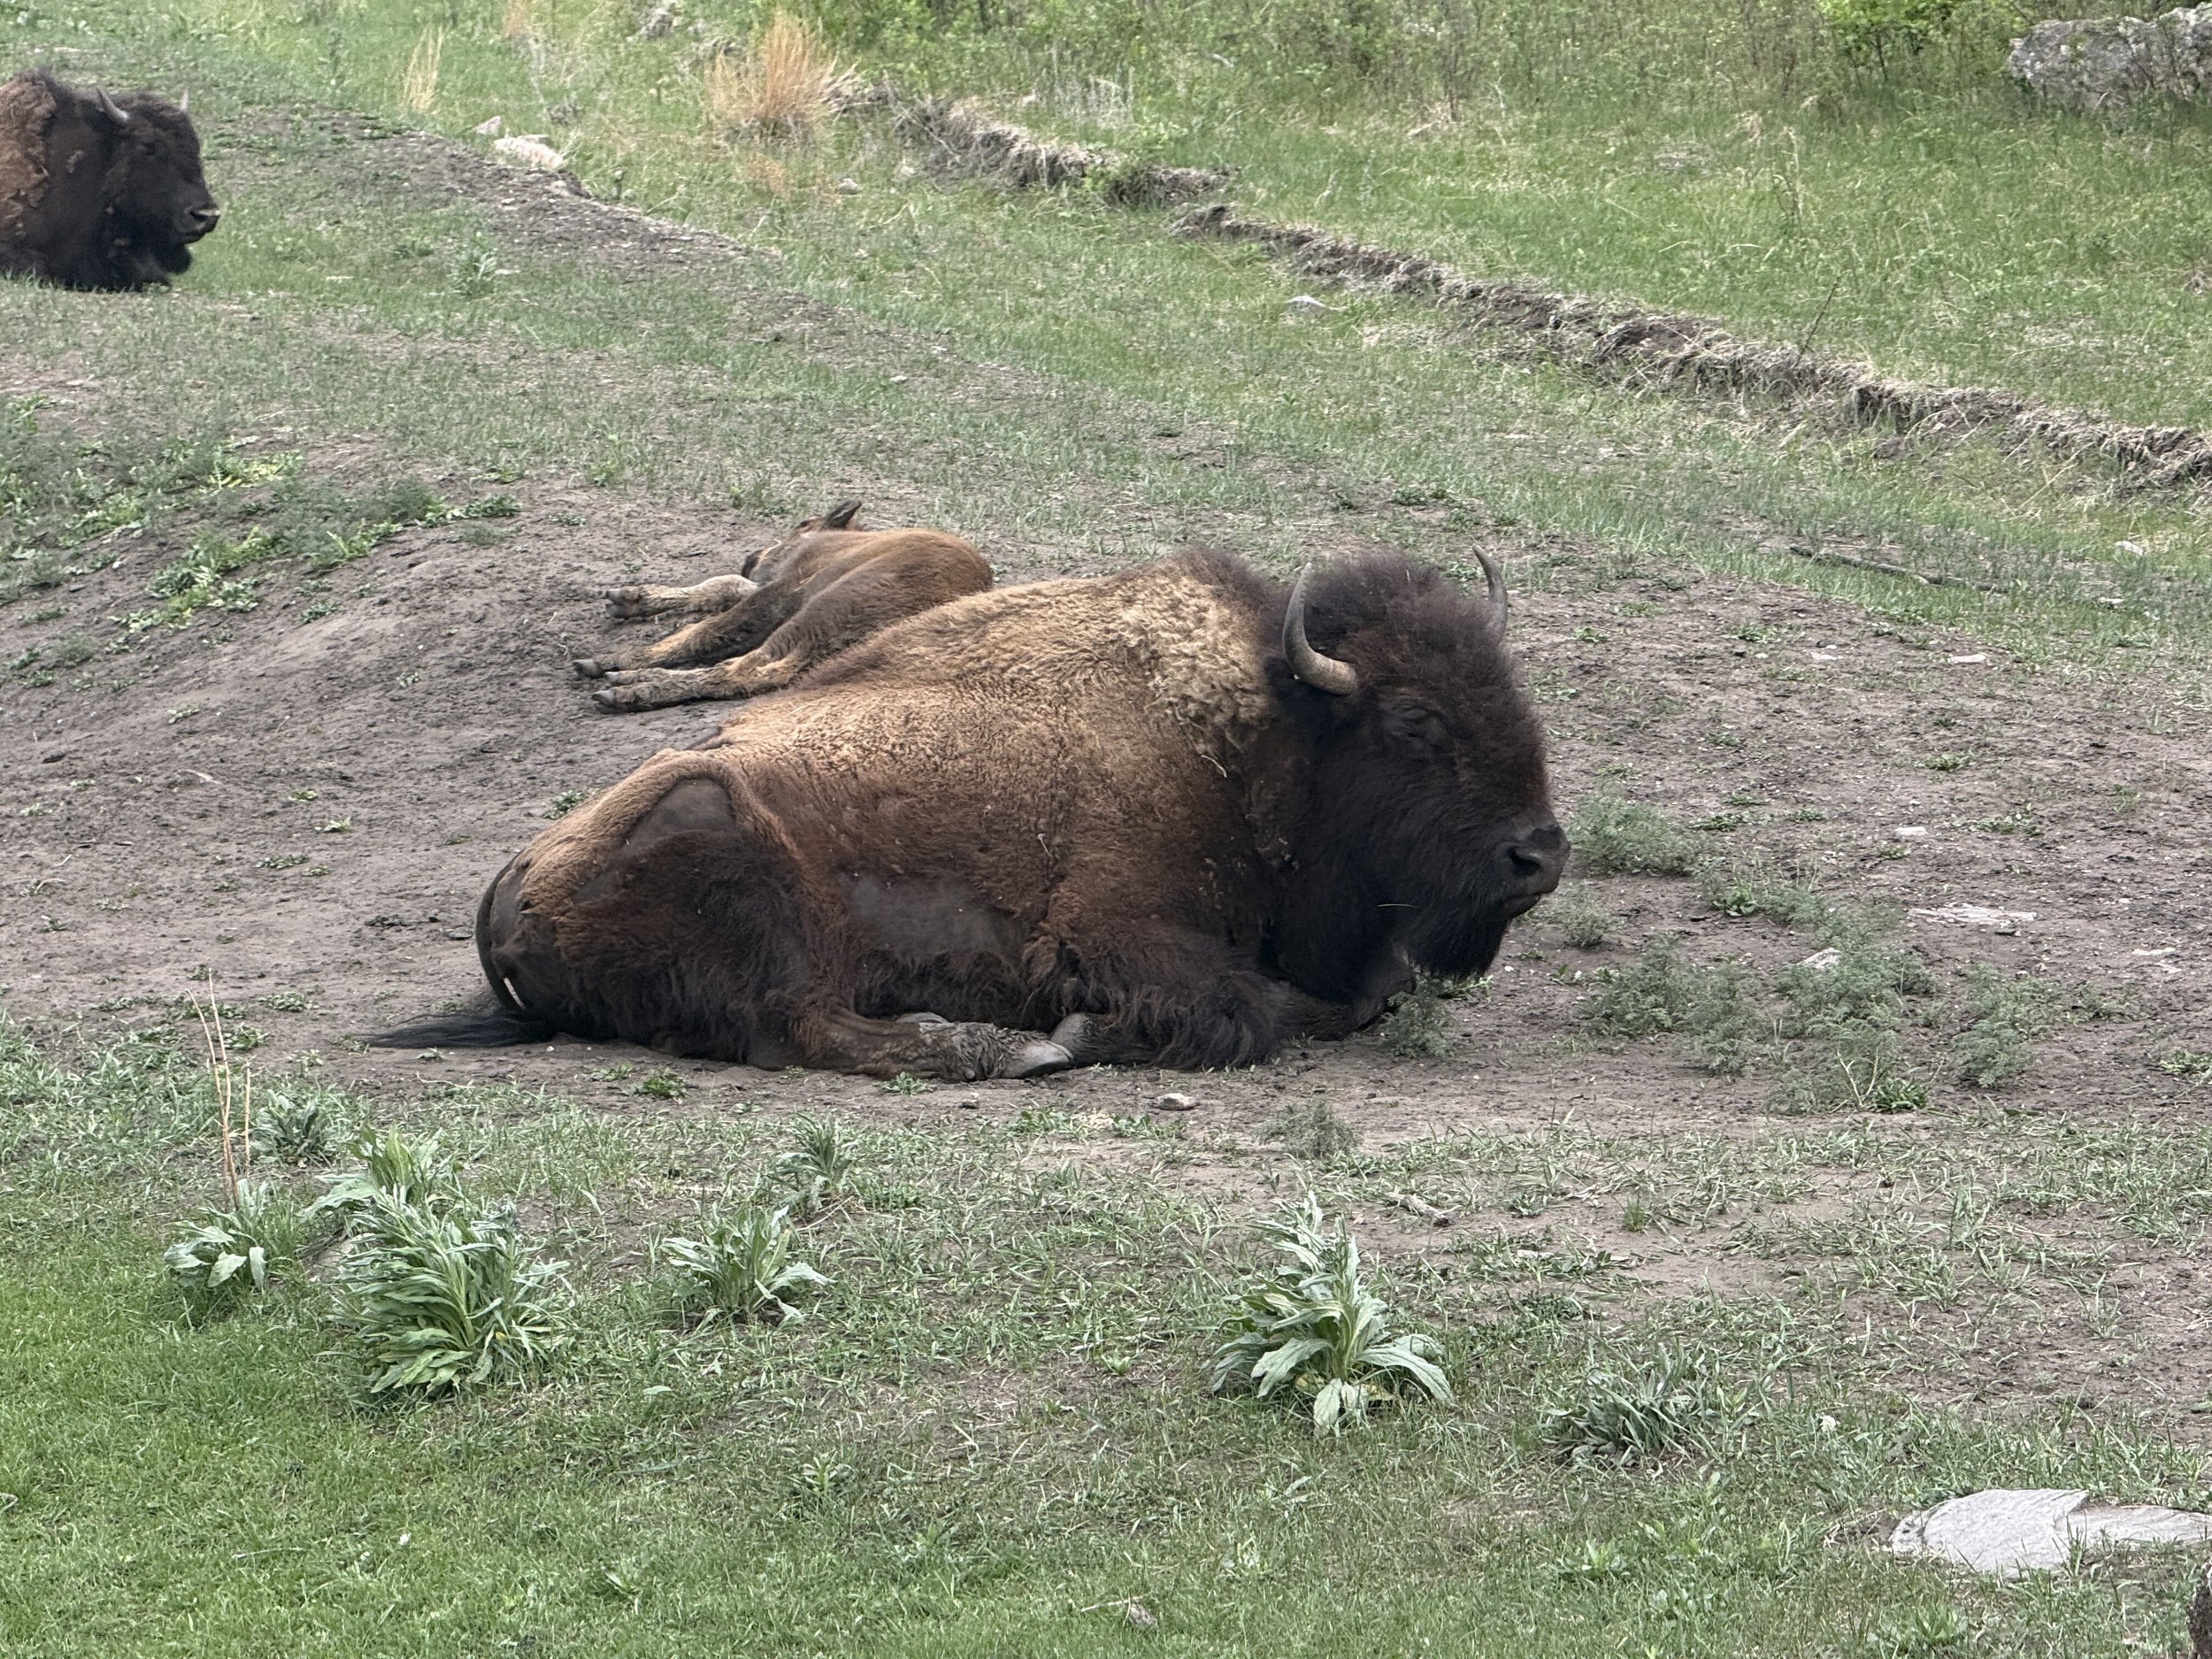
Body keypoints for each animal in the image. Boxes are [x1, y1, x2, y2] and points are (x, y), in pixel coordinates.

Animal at [374, 549, 1567, 1077]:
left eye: (1509, 690)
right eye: (1413, 723)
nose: (1540, 856)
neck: (1260, 734)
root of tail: (508, 890)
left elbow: (1358, 999)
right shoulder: (1115, 928)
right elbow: (1249, 1013)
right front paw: (1077, 1033)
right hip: (718, 834)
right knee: (803, 1026)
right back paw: (993, 1047)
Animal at [574, 499, 995, 711]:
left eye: (802, 523)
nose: (751, 556)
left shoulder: (784, 591)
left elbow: (710, 627)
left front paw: (616, 659)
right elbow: (724, 589)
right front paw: (629, 599)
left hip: (823, 612)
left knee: (750, 669)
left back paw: (629, 689)